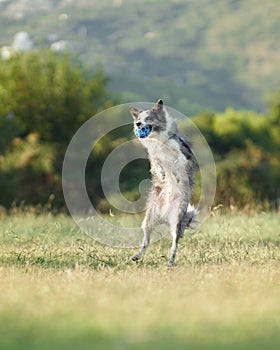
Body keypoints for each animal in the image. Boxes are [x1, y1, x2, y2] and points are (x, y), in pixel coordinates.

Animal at [130, 98, 197, 266]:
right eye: (138, 119)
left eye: (148, 119)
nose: (138, 124)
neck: (157, 139)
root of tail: (165, 215)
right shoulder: (153, 155)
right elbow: (157, 163)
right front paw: (161, 173)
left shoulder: (183, 153)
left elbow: (176, 162)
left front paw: (175, 174)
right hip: (149, 219)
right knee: (146, 241)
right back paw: (137, 256)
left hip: (177, 218)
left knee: (174, 243)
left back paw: (171, 261)